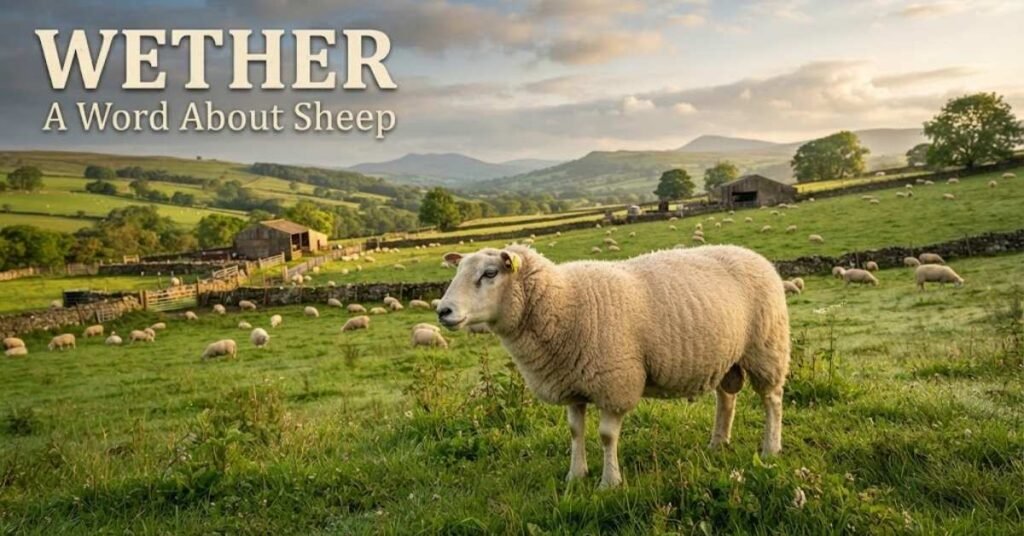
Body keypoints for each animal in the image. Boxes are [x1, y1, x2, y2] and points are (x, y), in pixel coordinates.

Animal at [437, 245, 790, 488]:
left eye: (490, 273)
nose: (443, 311)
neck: (564, 302)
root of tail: (755, 256)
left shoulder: (614, 383)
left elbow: (607, 436)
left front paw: (609, 482)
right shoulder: (572, 383)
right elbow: (575, 431)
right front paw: (575, 475)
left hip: (766, 348)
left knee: (772, 400)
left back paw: (771, 448)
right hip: (727, 356)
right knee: (726, 398)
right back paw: (718, 443)